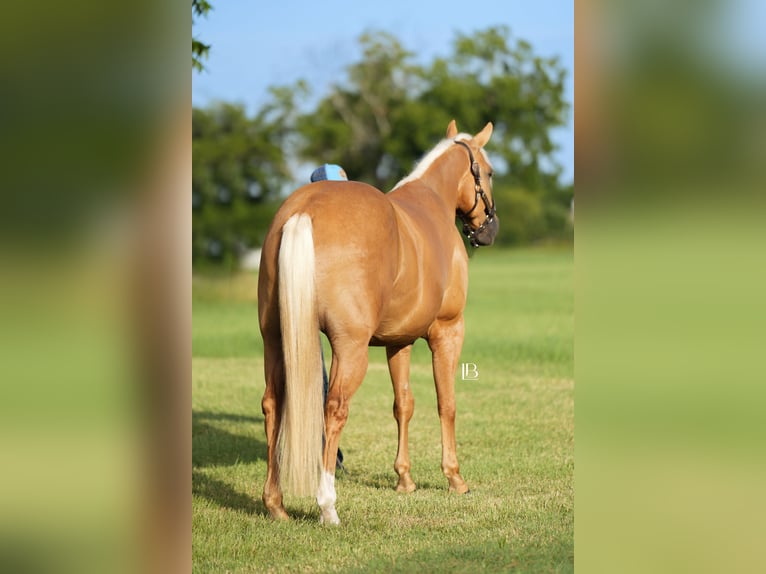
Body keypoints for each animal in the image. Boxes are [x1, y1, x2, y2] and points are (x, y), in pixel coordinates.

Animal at [257, 120, 498, 524]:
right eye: (490, 172)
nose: (489, 230)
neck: (432, 204)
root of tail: (305, 210)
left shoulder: (398, 341)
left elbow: (403, 404)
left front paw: (404, 479)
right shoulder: (447, 331)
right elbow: (445, 403)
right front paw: (455, 478)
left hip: (274, 340)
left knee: (273, 404)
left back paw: (275, 504)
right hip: (350, 349)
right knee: (334, 408)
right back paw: (327, 506)